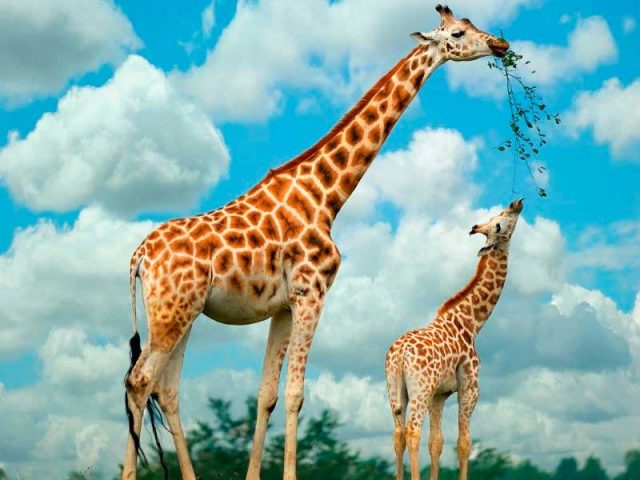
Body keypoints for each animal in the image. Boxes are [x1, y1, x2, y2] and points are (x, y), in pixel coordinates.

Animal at [121, 5, 510, 480]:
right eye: (457, 34)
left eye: (472, 25)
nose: (500, 44)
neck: (327, 196)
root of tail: (140, 257)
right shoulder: (312, 294)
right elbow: (295, 395)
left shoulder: (284, 307)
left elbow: (267, 395)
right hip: (171, 313)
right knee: (140, 380)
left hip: (182, 314)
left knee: (166, 389)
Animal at [384, 199, 524, 480]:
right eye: (499, 222)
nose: (517, 203)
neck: (472, 322)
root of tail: (400, 354)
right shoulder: (470, 387)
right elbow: (464, 443)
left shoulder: (440, 394)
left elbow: (436, 443)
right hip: (420, 389)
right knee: (412, 431)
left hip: (395, 390)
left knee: (398, 434)